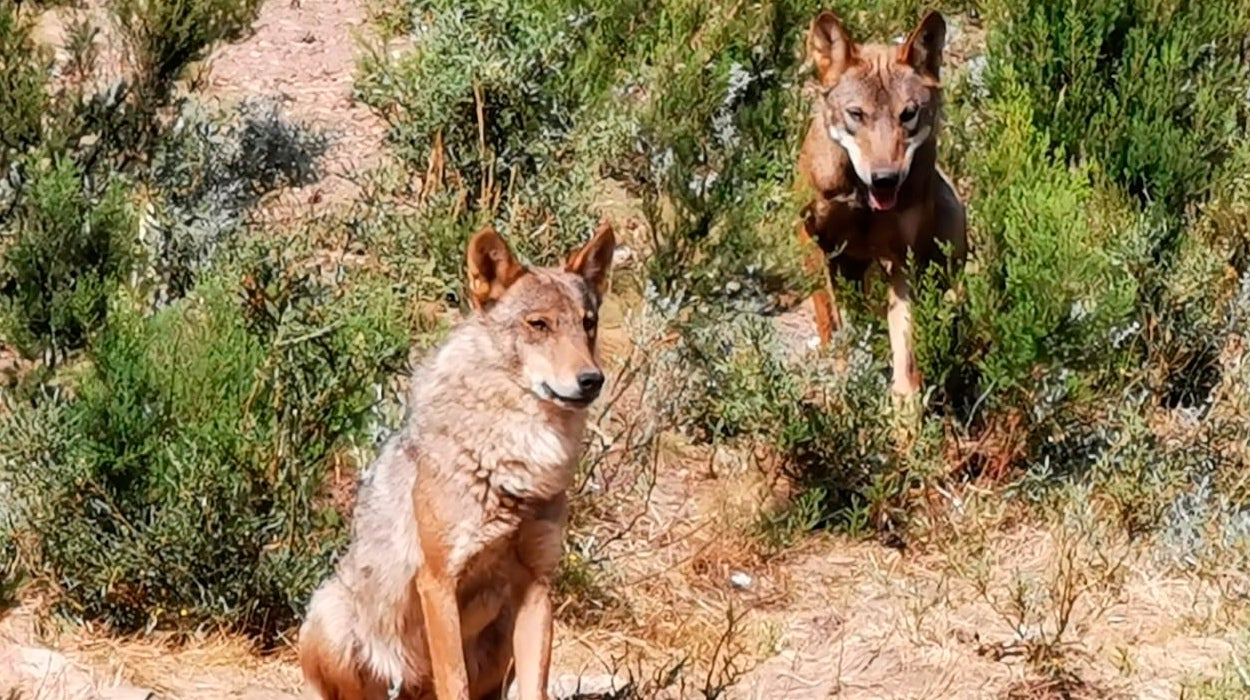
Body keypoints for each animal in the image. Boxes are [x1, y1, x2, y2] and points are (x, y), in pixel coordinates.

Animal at [299, 222, 617, 700]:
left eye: (588, 324)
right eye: (539, 325)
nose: (592, 380)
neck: (514, 466)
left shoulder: (537, 584)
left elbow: (535, 688)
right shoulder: (438, 581)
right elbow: (454, 680)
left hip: (500, 643)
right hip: (331, 616)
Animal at [797, 8, 968, 397]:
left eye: (908, 113)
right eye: (856, 114)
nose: (885, 178)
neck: (862, 198)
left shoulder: (905, 261)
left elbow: (906, 351)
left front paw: (906, 409)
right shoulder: (812, 241)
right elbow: (833, 324)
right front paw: (842, 383)